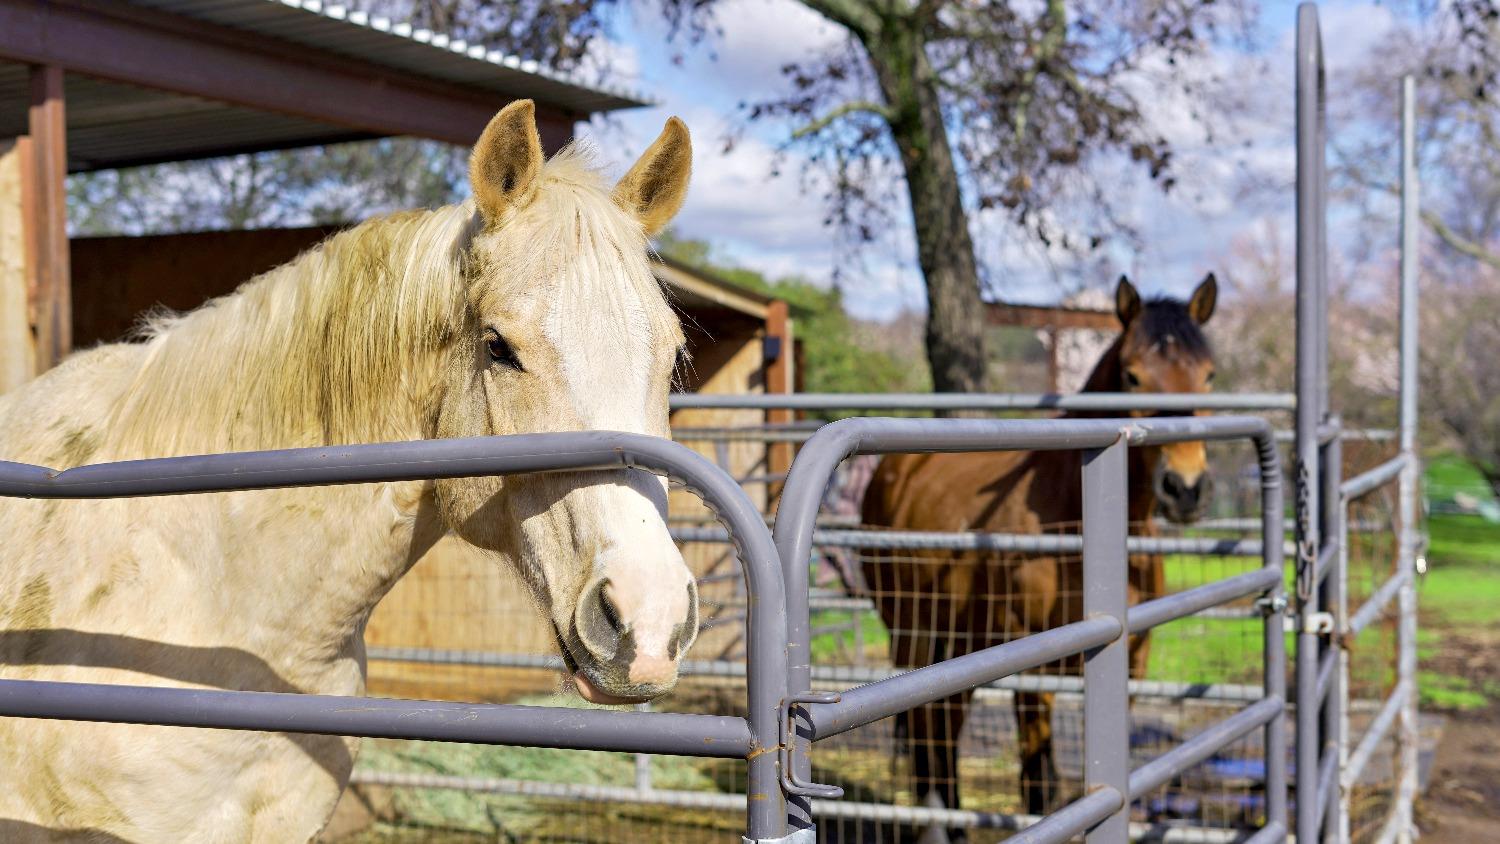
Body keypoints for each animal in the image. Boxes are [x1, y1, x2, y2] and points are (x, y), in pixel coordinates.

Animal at [864, 275, 1212, 839]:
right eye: (1133, 375)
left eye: (1209, 375)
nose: (1186, 488)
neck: (1079, 511)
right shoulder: (1033, 664)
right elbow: (1037, 785)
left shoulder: (1131, 661)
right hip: (912, 633)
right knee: (925, 730)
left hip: (961, 642)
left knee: (946, 724)